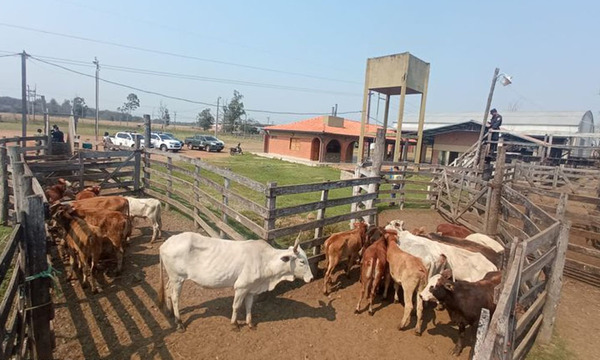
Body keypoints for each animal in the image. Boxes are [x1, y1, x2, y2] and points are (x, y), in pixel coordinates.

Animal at [157, 231, 314, 332]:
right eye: (302, 261)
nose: (311, 278)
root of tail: (166, 243)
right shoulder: (241, 287)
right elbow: (236, 306)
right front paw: (235, 324)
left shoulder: (251, 289)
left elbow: (249, 306)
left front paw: (250, 324)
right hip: (177, 278)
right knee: (175, 297)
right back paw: (179, 323)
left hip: (173, 278)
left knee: (168, 290)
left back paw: (169, 312)